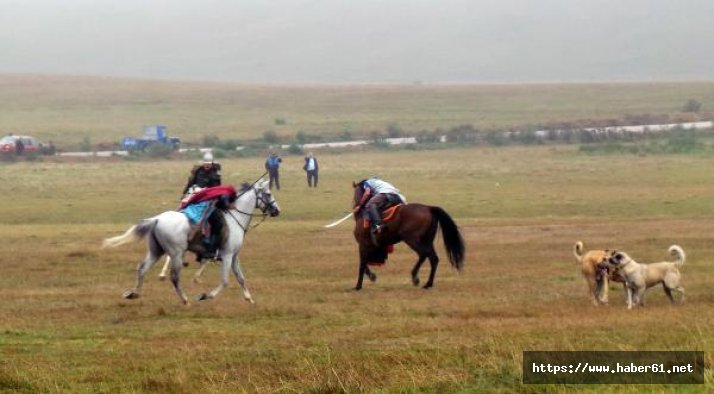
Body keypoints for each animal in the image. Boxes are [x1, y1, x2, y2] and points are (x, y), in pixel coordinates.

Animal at [102, 180, 278, 306]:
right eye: (268, 194)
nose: (277, 211)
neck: (234, 218)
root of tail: (157, 219)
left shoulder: (234, 256)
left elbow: (241, 278)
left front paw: (250, 299)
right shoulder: (227, 256)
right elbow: (225, 281)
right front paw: (205, 296)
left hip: (156, 251)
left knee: (142, 269)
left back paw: (134, 294)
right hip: (176, 254)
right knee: (174, 277)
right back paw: (185, 300)